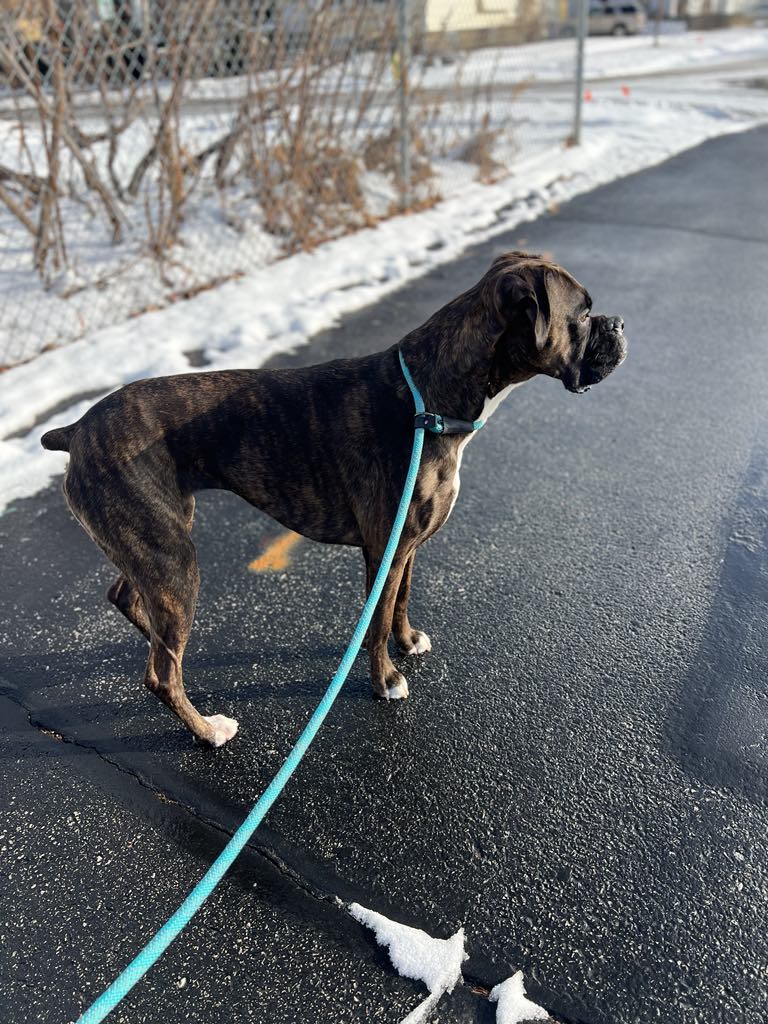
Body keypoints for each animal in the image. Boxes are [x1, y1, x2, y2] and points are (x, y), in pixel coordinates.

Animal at [41, 247, 626, 745]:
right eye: (582, 314)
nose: (619, 324)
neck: (429, 399)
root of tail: (76, 431)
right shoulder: (384, 549)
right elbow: (377, 619)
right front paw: (386, 680)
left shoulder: (404, 547)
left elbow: (399, 603)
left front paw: (407, 642)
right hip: (172, 559)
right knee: (161, 673)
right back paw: (207, 730)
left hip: (152, 545)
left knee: (130, 601)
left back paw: (165, 645)